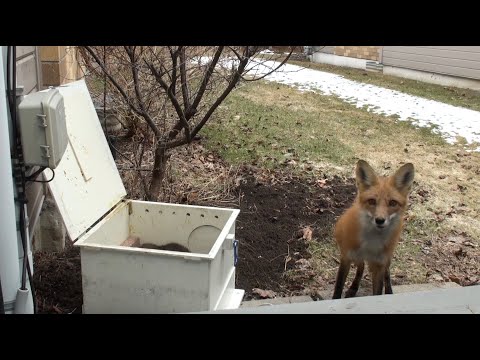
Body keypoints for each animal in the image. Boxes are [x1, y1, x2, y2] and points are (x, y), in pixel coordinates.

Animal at [332, 160, 414, 298]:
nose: (380, 220)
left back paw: (389, 291)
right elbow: (338, 287)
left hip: (387, 257)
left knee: (386, 272)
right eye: (371, 201)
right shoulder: (346, 258)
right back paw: (353, 288)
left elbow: (378, 291)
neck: (371, 242)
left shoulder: (379, 265)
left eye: (392, 203)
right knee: (361, 267)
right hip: (356, 256)